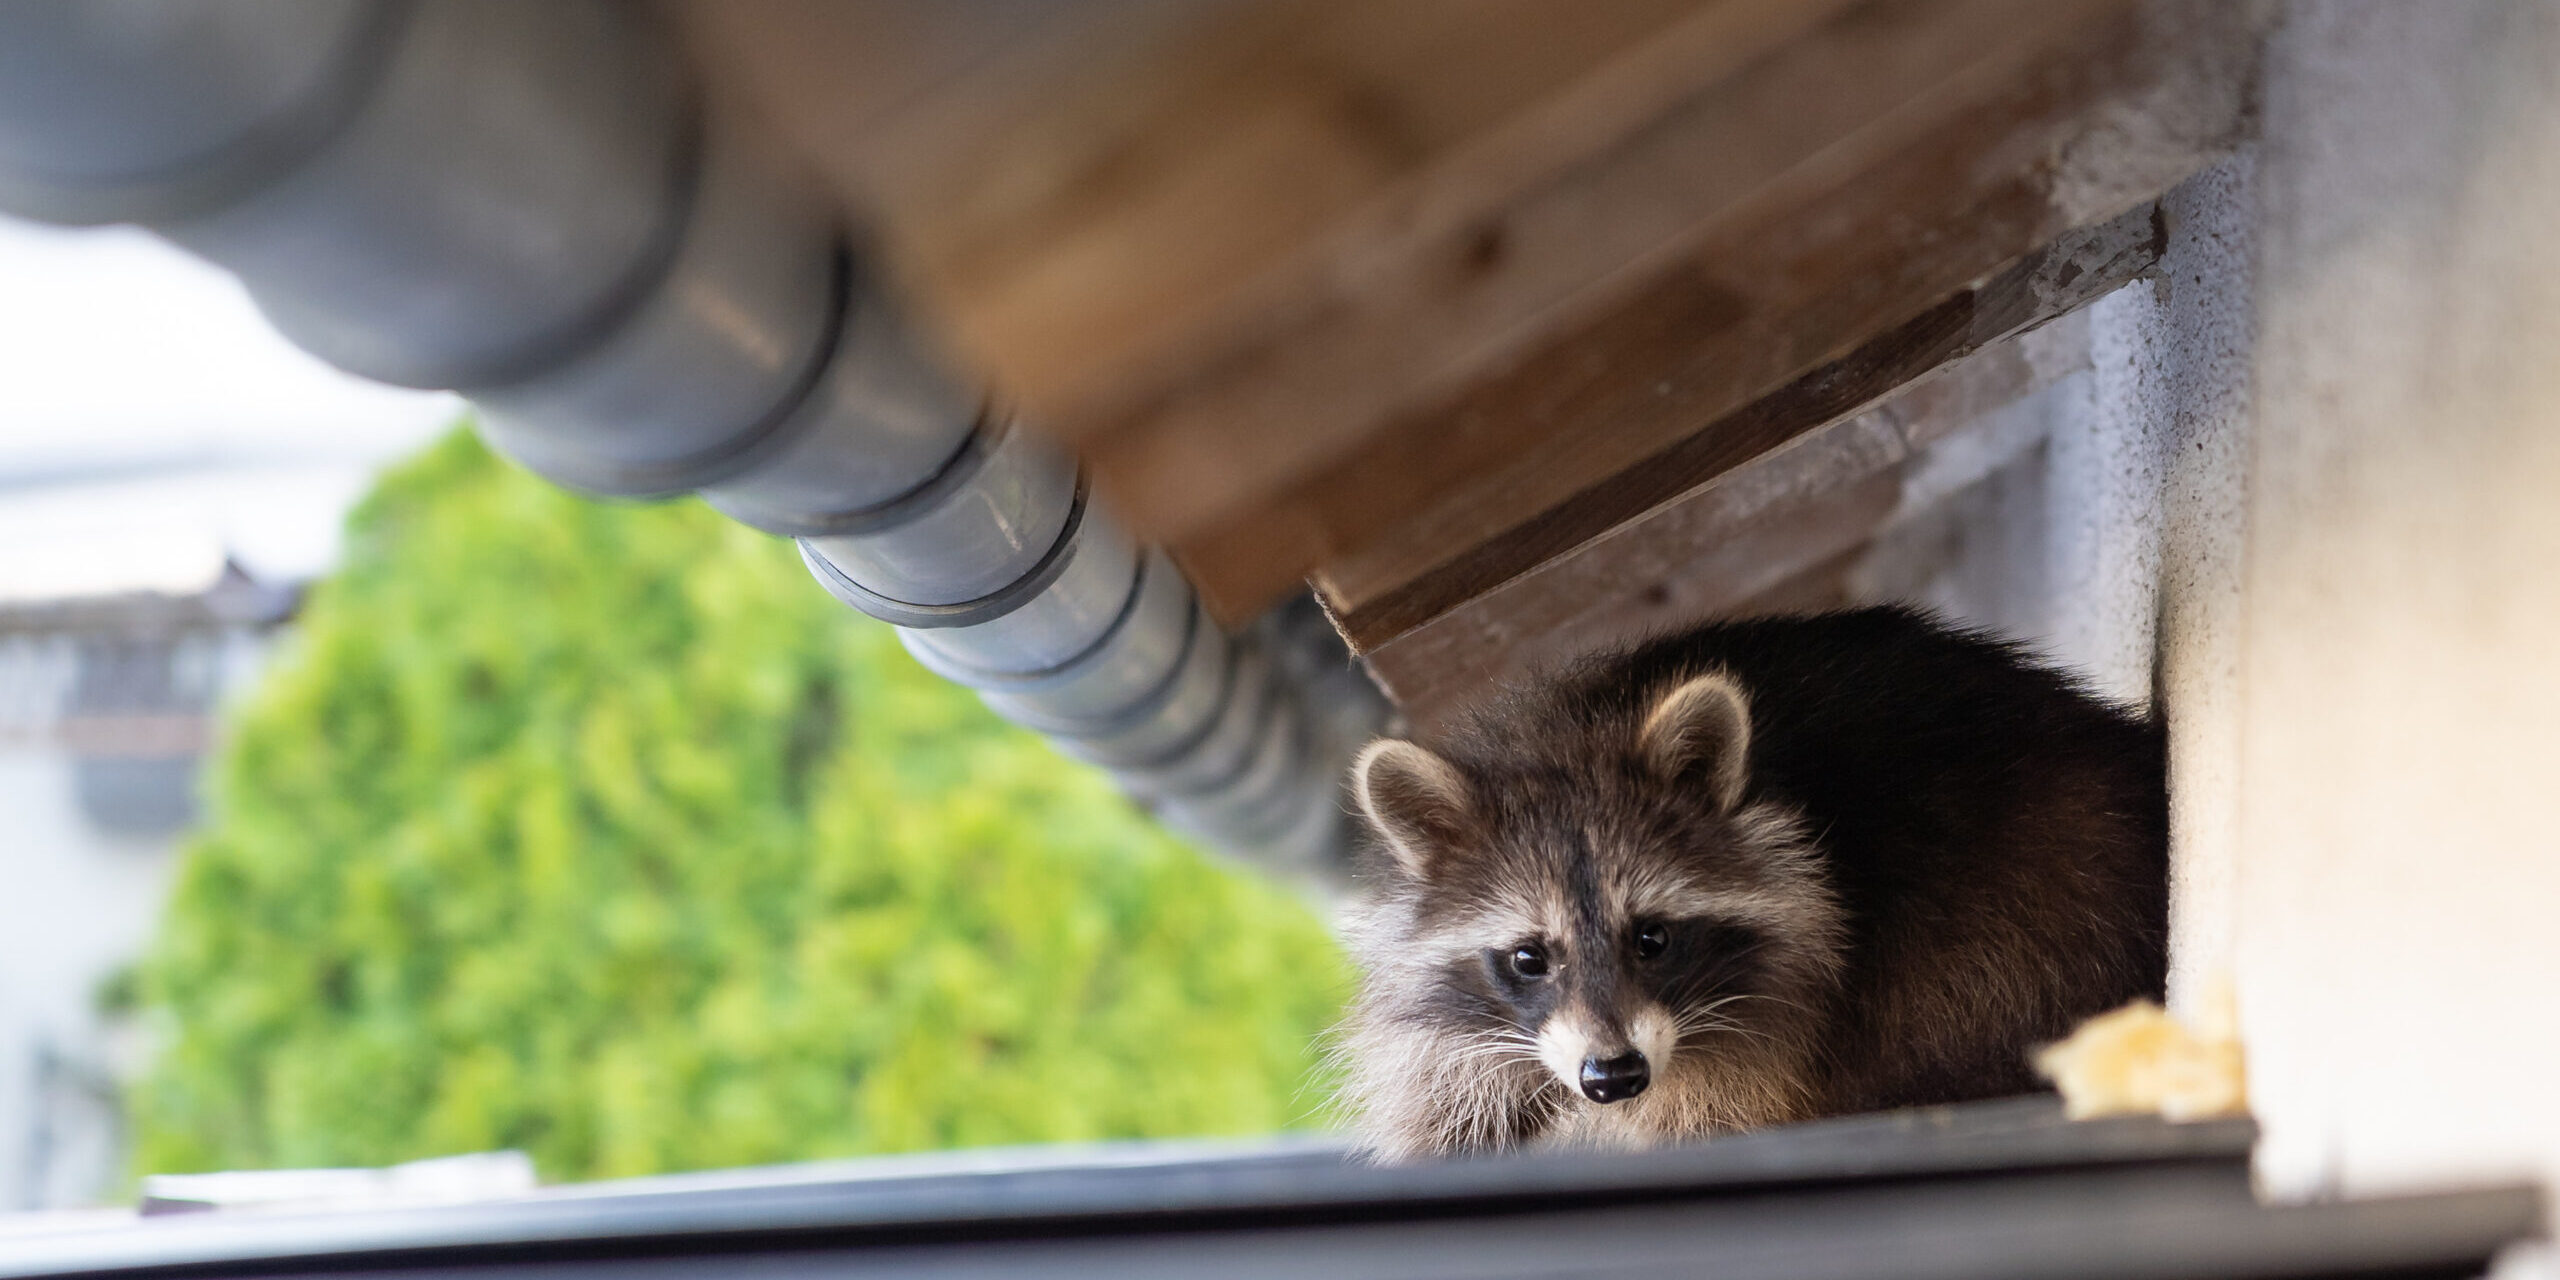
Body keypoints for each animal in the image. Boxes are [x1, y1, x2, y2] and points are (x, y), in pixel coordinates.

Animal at [1339, 606, 2167, 1160]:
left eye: (1653, 938)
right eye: (1527, 958)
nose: (1613, 1075)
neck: (1570, 736)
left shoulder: (1787, 1014)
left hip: (2035, 895)